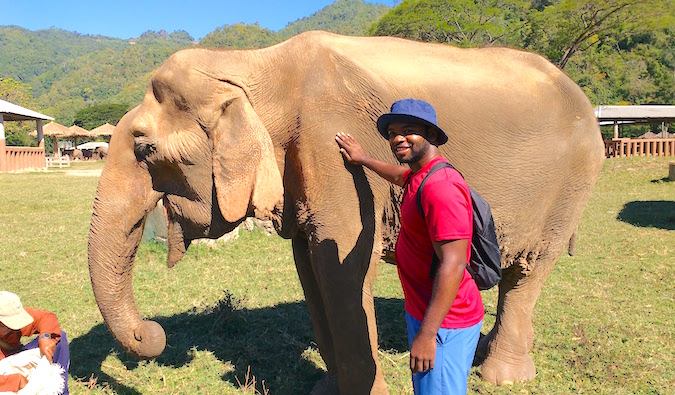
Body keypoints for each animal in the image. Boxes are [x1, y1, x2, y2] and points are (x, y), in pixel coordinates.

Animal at [87, 30, 604, 392]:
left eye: (145, 148)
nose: (153, 335)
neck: (253, 61)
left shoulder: (329, 145)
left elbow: (343, 268)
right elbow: (311, 267)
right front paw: (324, 389)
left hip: (571, 185)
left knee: (528, 273)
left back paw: (504, 376)